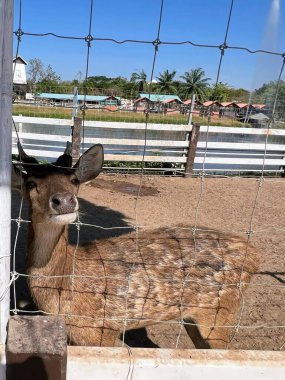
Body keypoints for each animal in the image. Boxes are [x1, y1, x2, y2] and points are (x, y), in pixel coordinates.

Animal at [12, 144, 258, 348]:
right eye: (30, 183)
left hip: (222, 313)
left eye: (75, 180)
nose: (63, 200)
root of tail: (254, 253)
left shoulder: (102, 331)